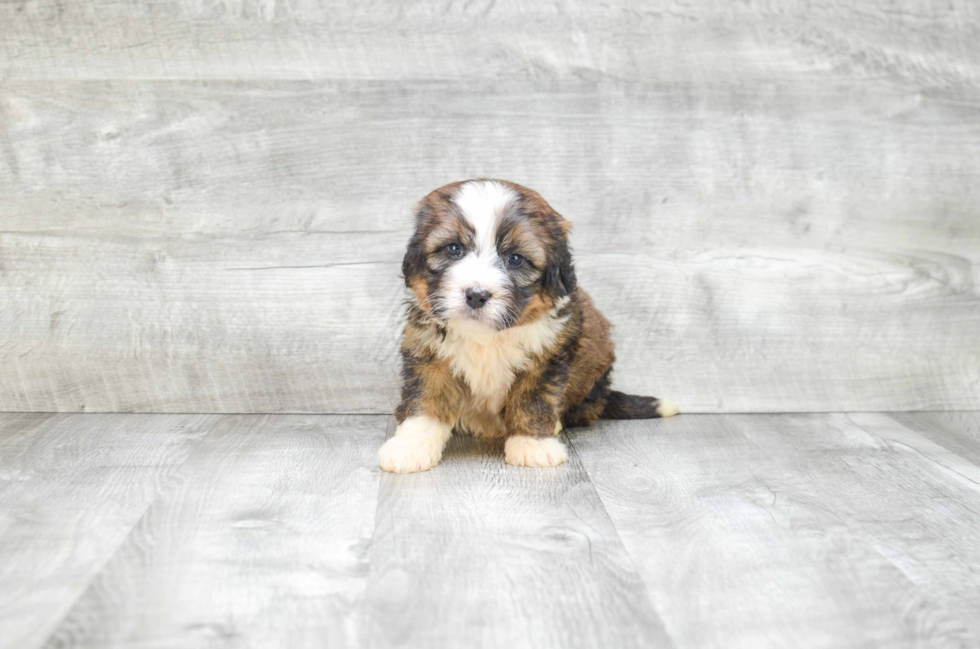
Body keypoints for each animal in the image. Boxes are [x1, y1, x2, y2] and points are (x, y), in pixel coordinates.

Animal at [378, 180, 676, 474]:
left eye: (515, 259)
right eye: (453, 249)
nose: (476, 295)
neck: (485, 336)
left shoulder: (547, 357)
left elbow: (533, 400)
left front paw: (532, 444)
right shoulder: (429, 353)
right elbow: (425, 398)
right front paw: (410, 447)